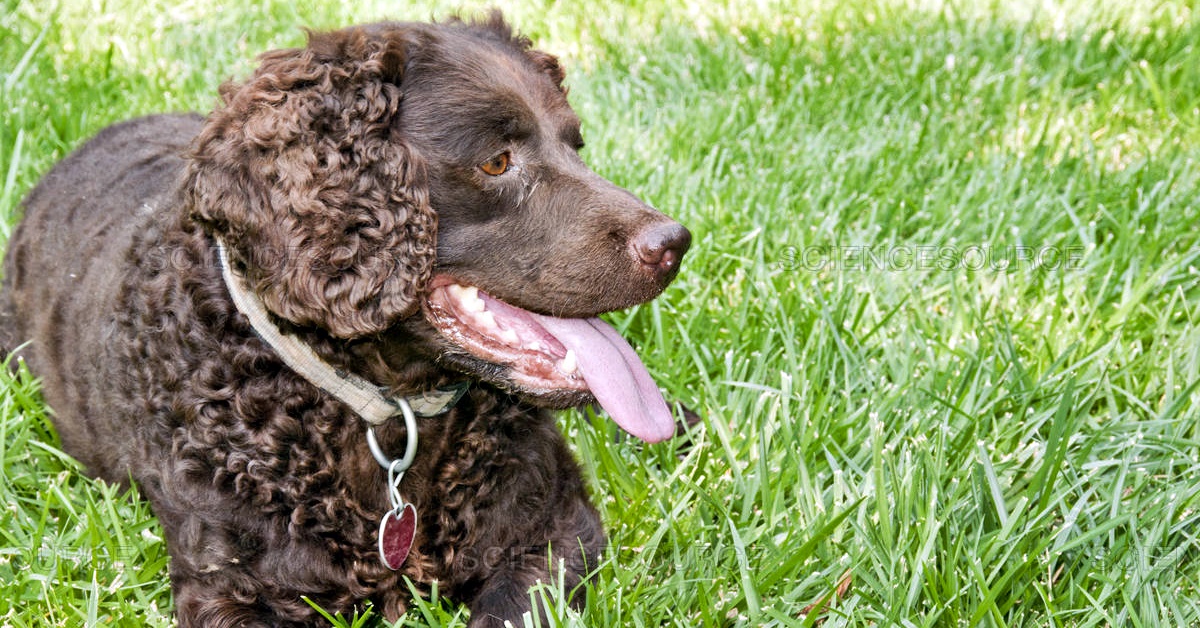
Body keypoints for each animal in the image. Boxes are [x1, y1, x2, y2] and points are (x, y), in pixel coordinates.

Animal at [0, 14, 691, 628]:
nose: (674, 243)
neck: (384, 410)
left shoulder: (554, 531)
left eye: (575, 145)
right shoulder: (235, 591)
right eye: (497, 161)